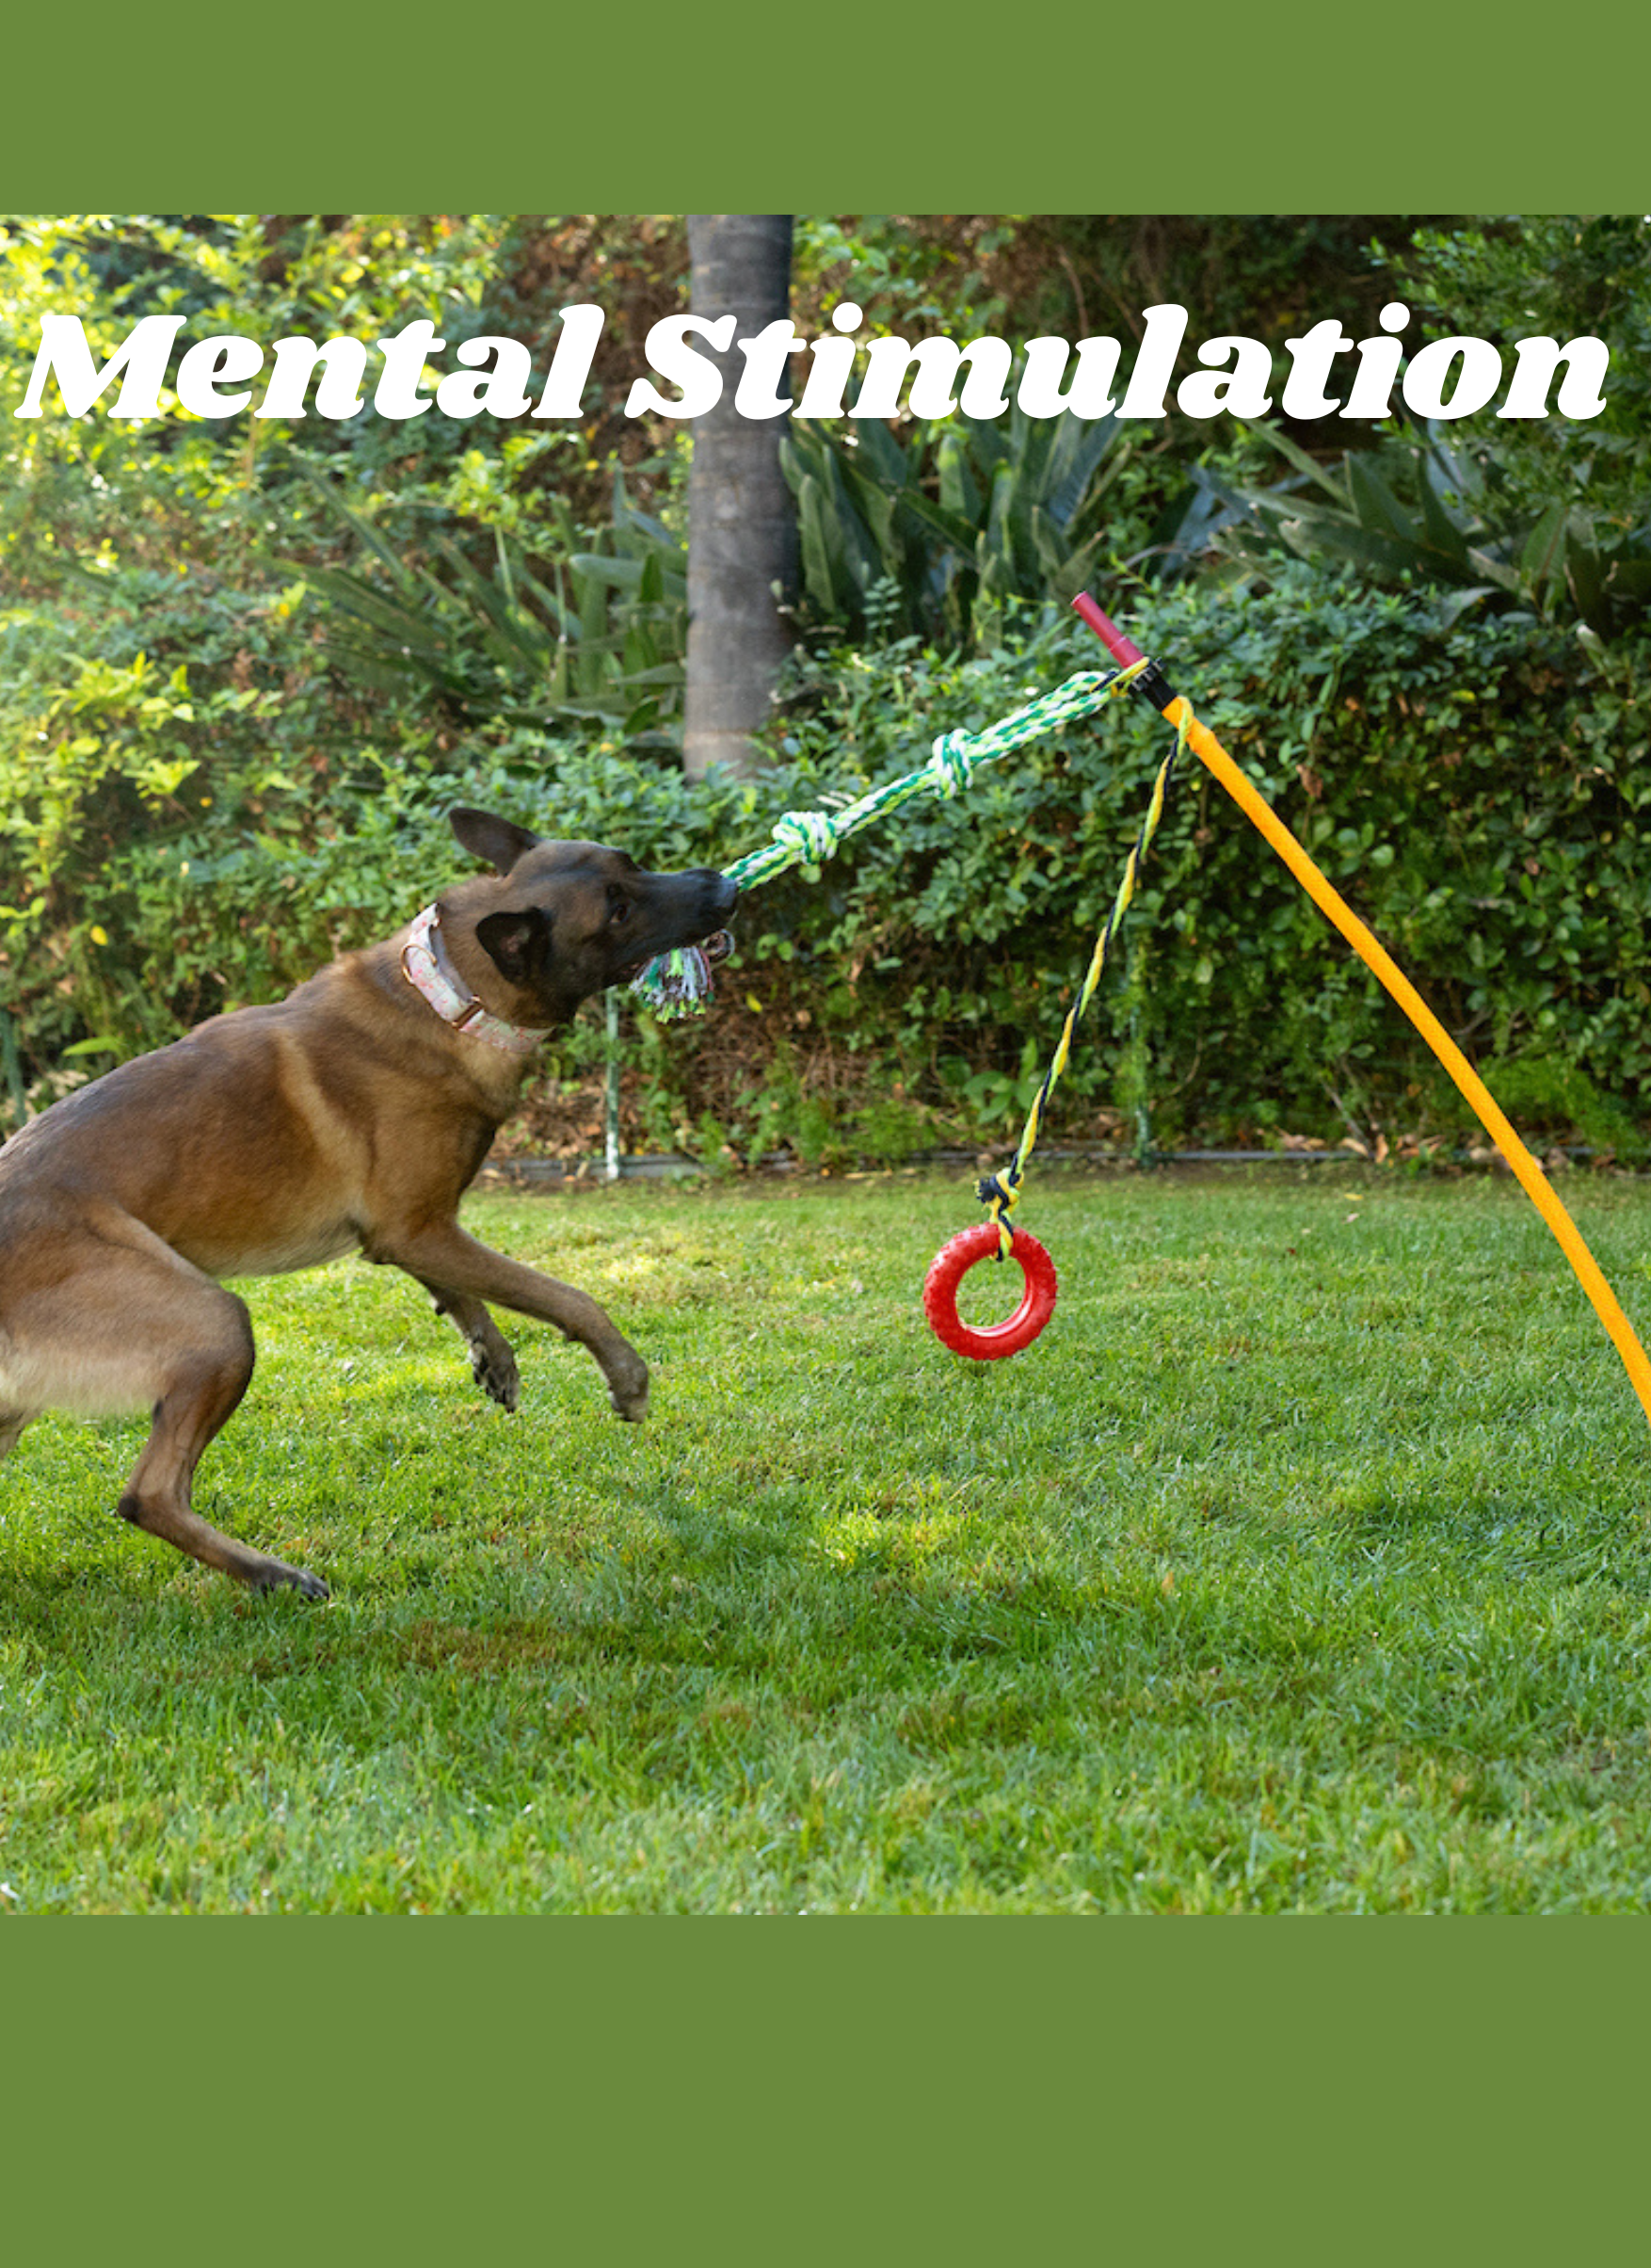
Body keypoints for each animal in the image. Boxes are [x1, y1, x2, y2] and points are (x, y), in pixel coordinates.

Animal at [0, 807, 734, 1605]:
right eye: (619, 910)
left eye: (630, 863)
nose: (724, 887)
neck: (453, 995)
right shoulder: (420, 1227)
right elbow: (566, 1297)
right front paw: (626, 1376)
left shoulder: (410, 1230)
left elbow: (465, 1290)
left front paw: (492, 1354)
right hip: (215, 1326)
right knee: (150, 1495)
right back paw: (274, 1573)